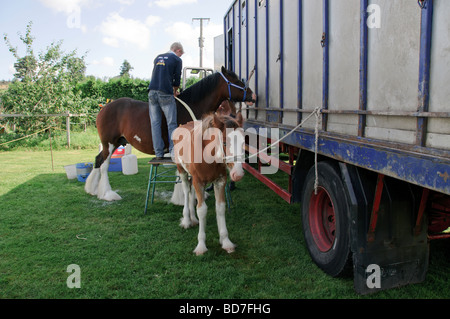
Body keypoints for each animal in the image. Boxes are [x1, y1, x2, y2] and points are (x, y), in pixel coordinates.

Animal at [84, 67, 253, 202]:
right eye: (236, 80)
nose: (253, 95)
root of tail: (105, 107)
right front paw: (182, 198)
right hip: (109, 143)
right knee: (104, 165)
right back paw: (108, 194)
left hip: (117, 142)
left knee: (98, 160)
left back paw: (92, 189)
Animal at [172, 114, 244, 256]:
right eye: (225, 142)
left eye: (243, 142)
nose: (238, 174)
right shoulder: (199, 182)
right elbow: (202, 210)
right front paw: (201, 245)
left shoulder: (220, 181)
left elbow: (220, 208)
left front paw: (226, 241)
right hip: (182, 171)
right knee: (186, 192)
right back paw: (187, 220)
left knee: (191, 193)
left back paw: (193, 219)